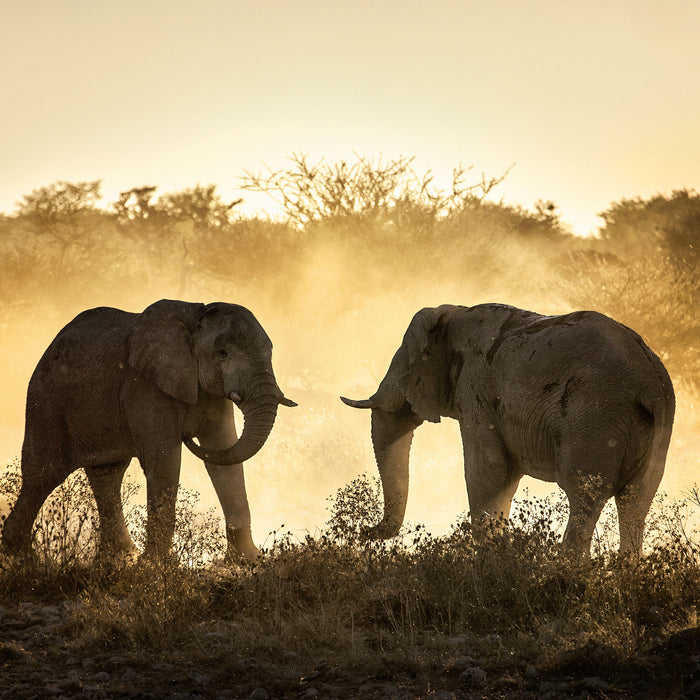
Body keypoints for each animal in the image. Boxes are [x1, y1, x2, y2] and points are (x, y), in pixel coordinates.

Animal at [0, 300, 296, 564]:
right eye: (222, 353)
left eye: (270, 352)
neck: (194, 318)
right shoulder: (143, 386)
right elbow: (165, 459)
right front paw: (157, 567)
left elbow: (224, 453)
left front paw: (249, 561)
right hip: (45, 400)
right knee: (43, 475)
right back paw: (20, 558)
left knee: (107, 475)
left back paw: (121, 558)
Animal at [342, 304, 676, 556]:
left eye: (403, 367)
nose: (363, 531)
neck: (454, 314)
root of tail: (651, 382)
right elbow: (504, 475)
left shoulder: (475, 388)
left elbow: (488, 469)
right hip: (654, 428)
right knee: (636, 500)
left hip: (594, 417)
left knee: (585, 495)